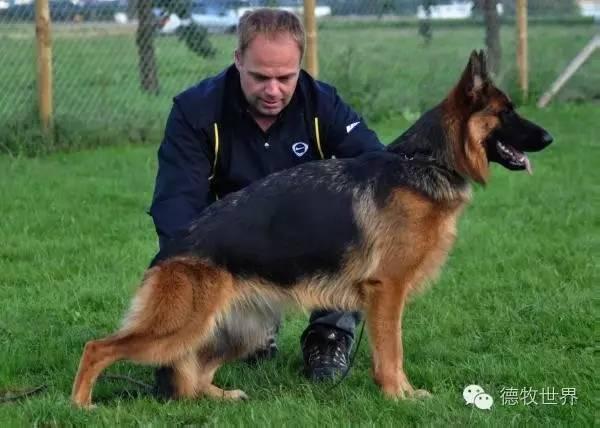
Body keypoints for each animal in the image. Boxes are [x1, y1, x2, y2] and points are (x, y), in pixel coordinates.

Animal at [70, 51, 552, 410]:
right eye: (506, 113)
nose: (549, 138)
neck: (426, 162)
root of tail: (170, 251)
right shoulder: (388, 290)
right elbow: (392, 352)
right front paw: (400, 396)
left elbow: (391, 351)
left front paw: (401, 393)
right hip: (180, 326)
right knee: (99, 348)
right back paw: (81, 405)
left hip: (239, 328)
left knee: (192, 376)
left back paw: (219, 395)